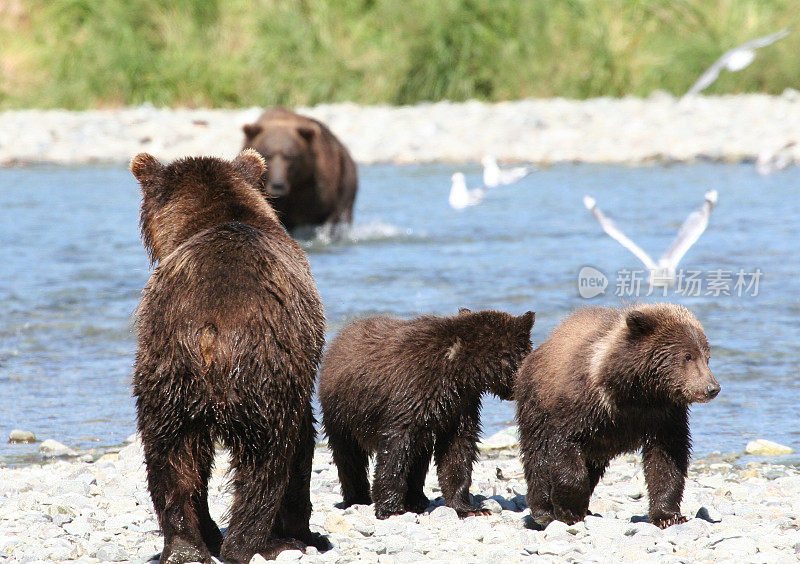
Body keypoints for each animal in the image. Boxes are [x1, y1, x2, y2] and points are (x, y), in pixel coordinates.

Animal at [318, 308, 532, 520]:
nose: (517, 391)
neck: (459, 371)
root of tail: (338, 339)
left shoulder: (459, 405)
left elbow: (457, 450)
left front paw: (469, 508)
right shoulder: (413, 391)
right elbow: (396, 448)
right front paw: (390, 508)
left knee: (419, 455)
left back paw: (416, 500)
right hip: (342, 412)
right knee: (348, 456)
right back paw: (357, 498)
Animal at [516, 304, 720, 528]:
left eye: (707, 357)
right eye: (687, 356)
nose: (712, 388)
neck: (636, 393)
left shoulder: (664, 416)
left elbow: (667, 459)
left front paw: (668, 516)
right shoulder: (581, 405)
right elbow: (564, 445)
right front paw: (569, 510)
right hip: (535, 403)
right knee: (537, 455)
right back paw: (543, 510)